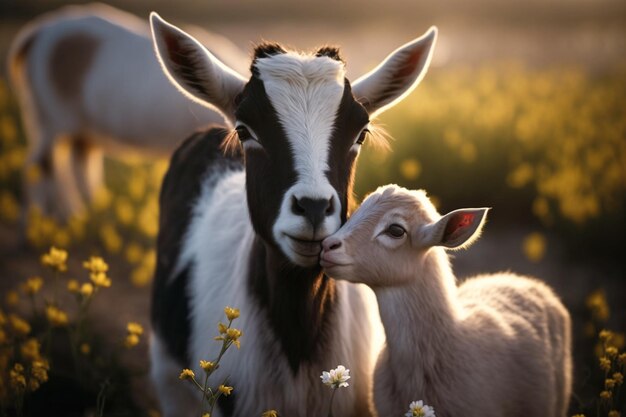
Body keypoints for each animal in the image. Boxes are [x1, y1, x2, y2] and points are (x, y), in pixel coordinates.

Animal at [7, 4, 247, 221]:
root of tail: (36, 33)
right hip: (49, 115)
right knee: (40, 165)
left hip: (76, 125)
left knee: (78, 160)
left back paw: (85, 215)